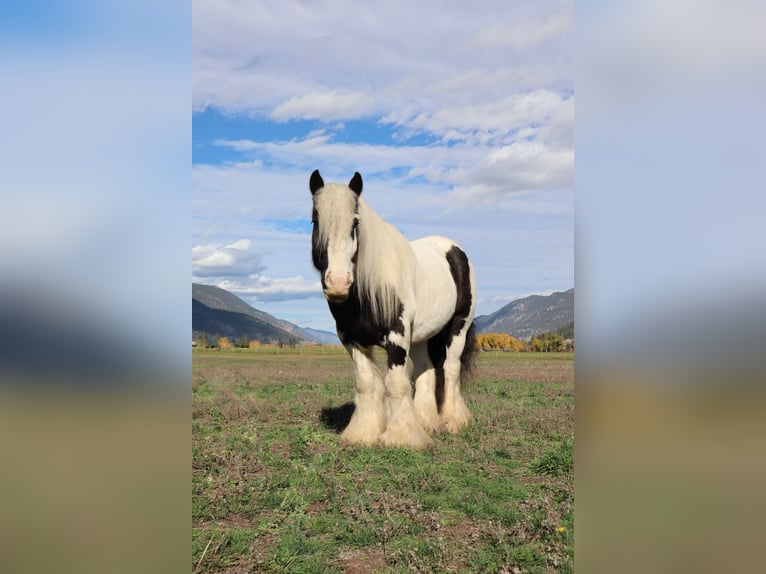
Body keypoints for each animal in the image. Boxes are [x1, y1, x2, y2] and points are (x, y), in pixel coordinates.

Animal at [308, 171, 476, 450]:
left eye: (355, 223)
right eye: (315, 220)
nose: (338, 283)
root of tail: (454, 250)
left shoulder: (397, 338)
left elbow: (395, 384)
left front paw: (402, 437)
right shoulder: (352, 341)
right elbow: (366, 384)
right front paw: (363, 434)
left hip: (458, 329)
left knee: (450, 369)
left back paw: (452, 422)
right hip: (421, 336)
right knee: (426, 370)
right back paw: (425, 423)